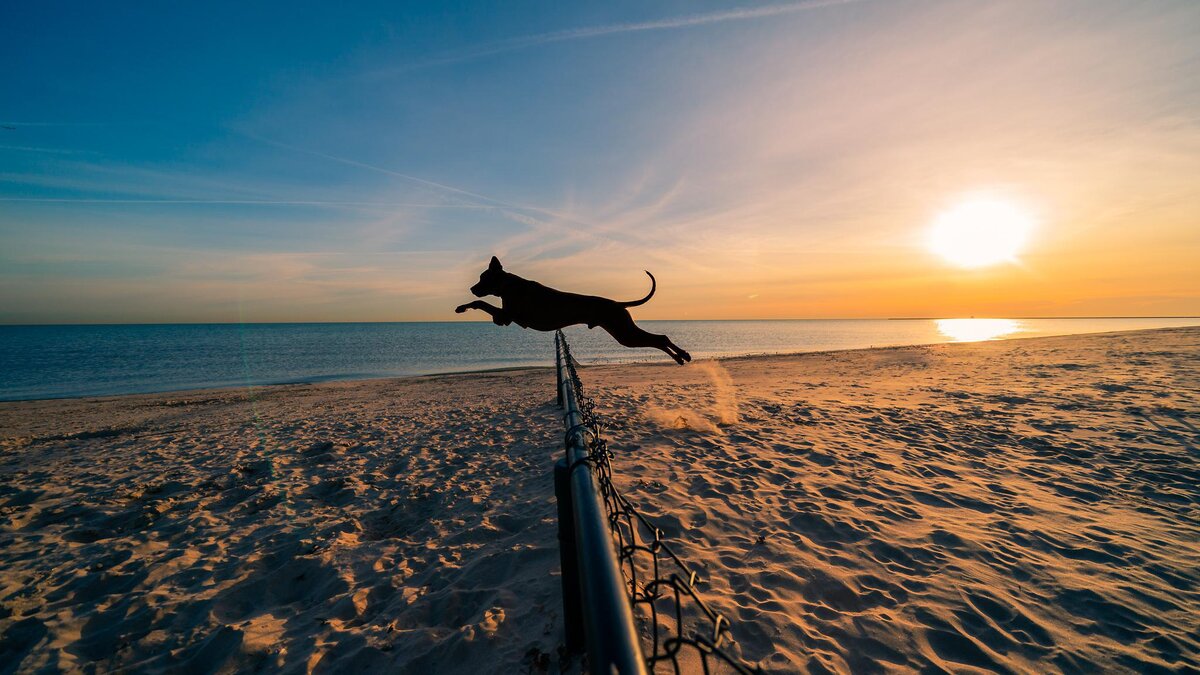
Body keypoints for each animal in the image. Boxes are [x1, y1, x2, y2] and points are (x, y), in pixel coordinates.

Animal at [453, 255, 691, 362]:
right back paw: (680, 357)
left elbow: (481, 303)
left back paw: (682, 355)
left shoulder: (507, 316)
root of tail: (617, 303)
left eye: (483, 278)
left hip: (625, 333)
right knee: (659, 339)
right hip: (624, 333)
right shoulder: (505, 319)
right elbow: (483, 305)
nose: (472, 288)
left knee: (659, 338)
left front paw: (462, 307)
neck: (508, 286)